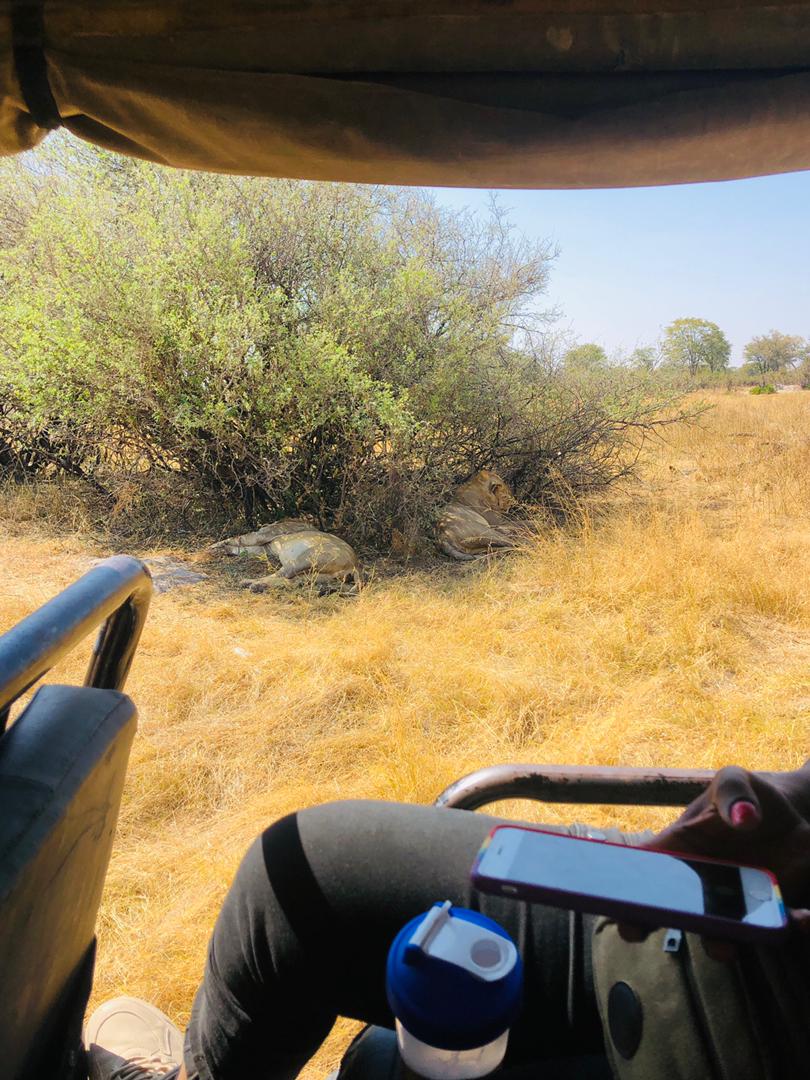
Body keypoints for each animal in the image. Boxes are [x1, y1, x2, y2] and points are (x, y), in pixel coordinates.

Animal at [209, 519, 361, 594]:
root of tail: (355, 565)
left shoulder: (262, 536)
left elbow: (238, 539)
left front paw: (212, 548)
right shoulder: (264, 548)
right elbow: (240, 548)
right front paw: (220, 549)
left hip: (304, 559)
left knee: (282, 575)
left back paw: (250, 582)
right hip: (314, 575)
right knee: (291, 581)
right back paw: (258, 586)